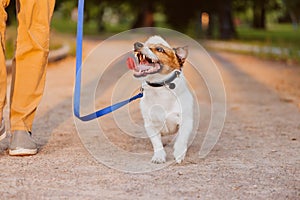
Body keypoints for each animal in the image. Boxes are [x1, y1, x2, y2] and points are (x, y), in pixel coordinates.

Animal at [126, 35, 195, 164]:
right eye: (145, 44)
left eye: (159, 49)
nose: (137, 44)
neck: (160, 88)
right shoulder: (150, 125)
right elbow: (157, 143)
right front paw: (159, 156)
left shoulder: (186, 121)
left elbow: (182, 138)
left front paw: (179, 153)